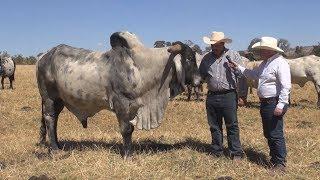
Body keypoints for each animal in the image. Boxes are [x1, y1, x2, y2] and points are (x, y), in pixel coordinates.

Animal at [36, 31, 199, 158]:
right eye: (190, 58)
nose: (199, 79)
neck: (141, 67)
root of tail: (43, 55)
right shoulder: (121, 103)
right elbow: (126, 130)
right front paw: (127, 156)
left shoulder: (133, 107)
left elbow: (131, 129)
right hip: (49, 97)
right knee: (50, 118)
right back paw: (55, 150)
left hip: (59, 100)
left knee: (54, 120)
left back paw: (57, 145)